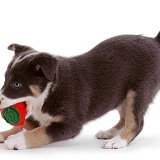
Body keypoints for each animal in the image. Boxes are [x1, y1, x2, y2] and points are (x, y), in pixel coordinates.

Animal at [0, 32, 160, 150]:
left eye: (16, 84)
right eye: (5, 79)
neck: (51, 90)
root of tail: (154, 41)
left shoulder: (70, 125)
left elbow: (40, 132)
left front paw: (17, 140)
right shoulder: (40, 116)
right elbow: (24, 125)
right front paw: (4, 134)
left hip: (138, 91)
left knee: (136, 122)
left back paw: (118, 141)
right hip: (120, 95)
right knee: (124, 118)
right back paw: (109, 132)